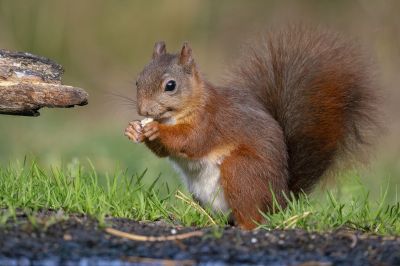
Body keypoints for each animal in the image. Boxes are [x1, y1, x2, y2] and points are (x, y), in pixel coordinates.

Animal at [124, 25, 378, 229]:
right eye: (137, 81)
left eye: (170, 85)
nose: (144, 111)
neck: (178, 114)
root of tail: (280, 200)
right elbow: (164, 151)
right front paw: (134, 130)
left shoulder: (211, 122)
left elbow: (191, 141)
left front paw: (156, 131)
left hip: (241, 172)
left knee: (251, 216)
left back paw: (244, 226)